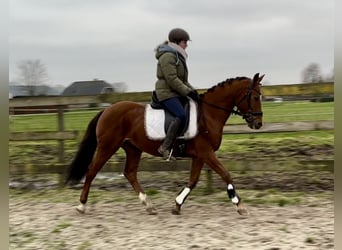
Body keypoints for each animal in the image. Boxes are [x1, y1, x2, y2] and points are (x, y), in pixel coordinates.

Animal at [66, 72, 264, 215]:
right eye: (255, 97)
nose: (258, 124)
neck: (209, 114)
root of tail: (106, 110)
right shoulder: (206, 153)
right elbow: (226, 174)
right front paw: (238, 204)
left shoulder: (200, 156)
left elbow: (193, 181)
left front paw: (177, 205)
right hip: (108, 146)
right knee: (92, 170)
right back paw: (82, 206)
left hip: (133, 149)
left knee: (130, 173)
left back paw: (148, 204)